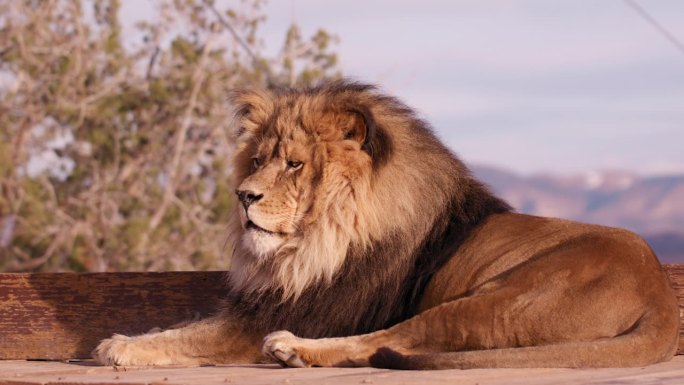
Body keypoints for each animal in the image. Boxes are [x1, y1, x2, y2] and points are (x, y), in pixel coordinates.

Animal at [93, 79, 680, 368]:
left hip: (497, 299)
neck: (316, 242)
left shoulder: (298, 313)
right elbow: (186, 326)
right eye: (257, 160)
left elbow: (196, 338)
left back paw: (292, 350)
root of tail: (660, 299)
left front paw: (122, 346)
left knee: (389, 341)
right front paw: (133, 336)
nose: (243, 196)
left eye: (294, 164)